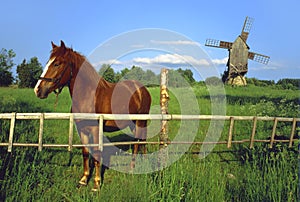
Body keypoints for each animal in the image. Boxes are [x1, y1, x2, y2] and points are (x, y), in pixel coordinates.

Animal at [34, 40, 151, 191]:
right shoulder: (82, 130)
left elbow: (96, 154)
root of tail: (142, 89)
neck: (87, 96)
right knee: (140, 142)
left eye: (57, 63)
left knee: (138, 142)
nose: (37, 89)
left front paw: (96, 183)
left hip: (140, 121)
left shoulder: (96, 130)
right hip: (132, 124)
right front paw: (84, 179)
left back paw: (133, 167)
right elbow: (85, 153)